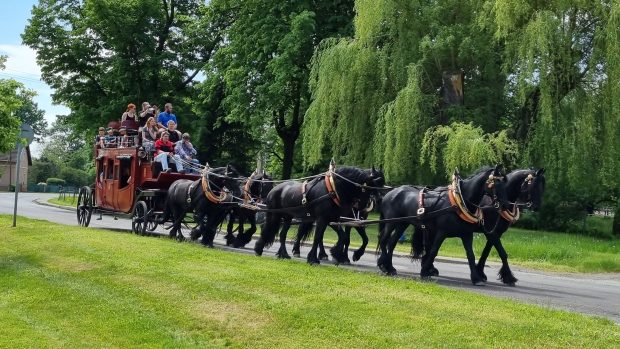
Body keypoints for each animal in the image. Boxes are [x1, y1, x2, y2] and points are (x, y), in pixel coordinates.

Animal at [378, 165, 508, 282]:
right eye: (497, 183)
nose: (506, 205)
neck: (459, 202)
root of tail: (390, 193)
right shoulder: (441, 232)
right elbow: (433, 251)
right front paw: (425, 272)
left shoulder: (467, 234)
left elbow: (470, 255)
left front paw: (476, 278)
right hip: (391, 222)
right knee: (384, 240)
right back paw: (386, 266)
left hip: (402, 223)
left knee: (392, 242)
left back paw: (389, 267)